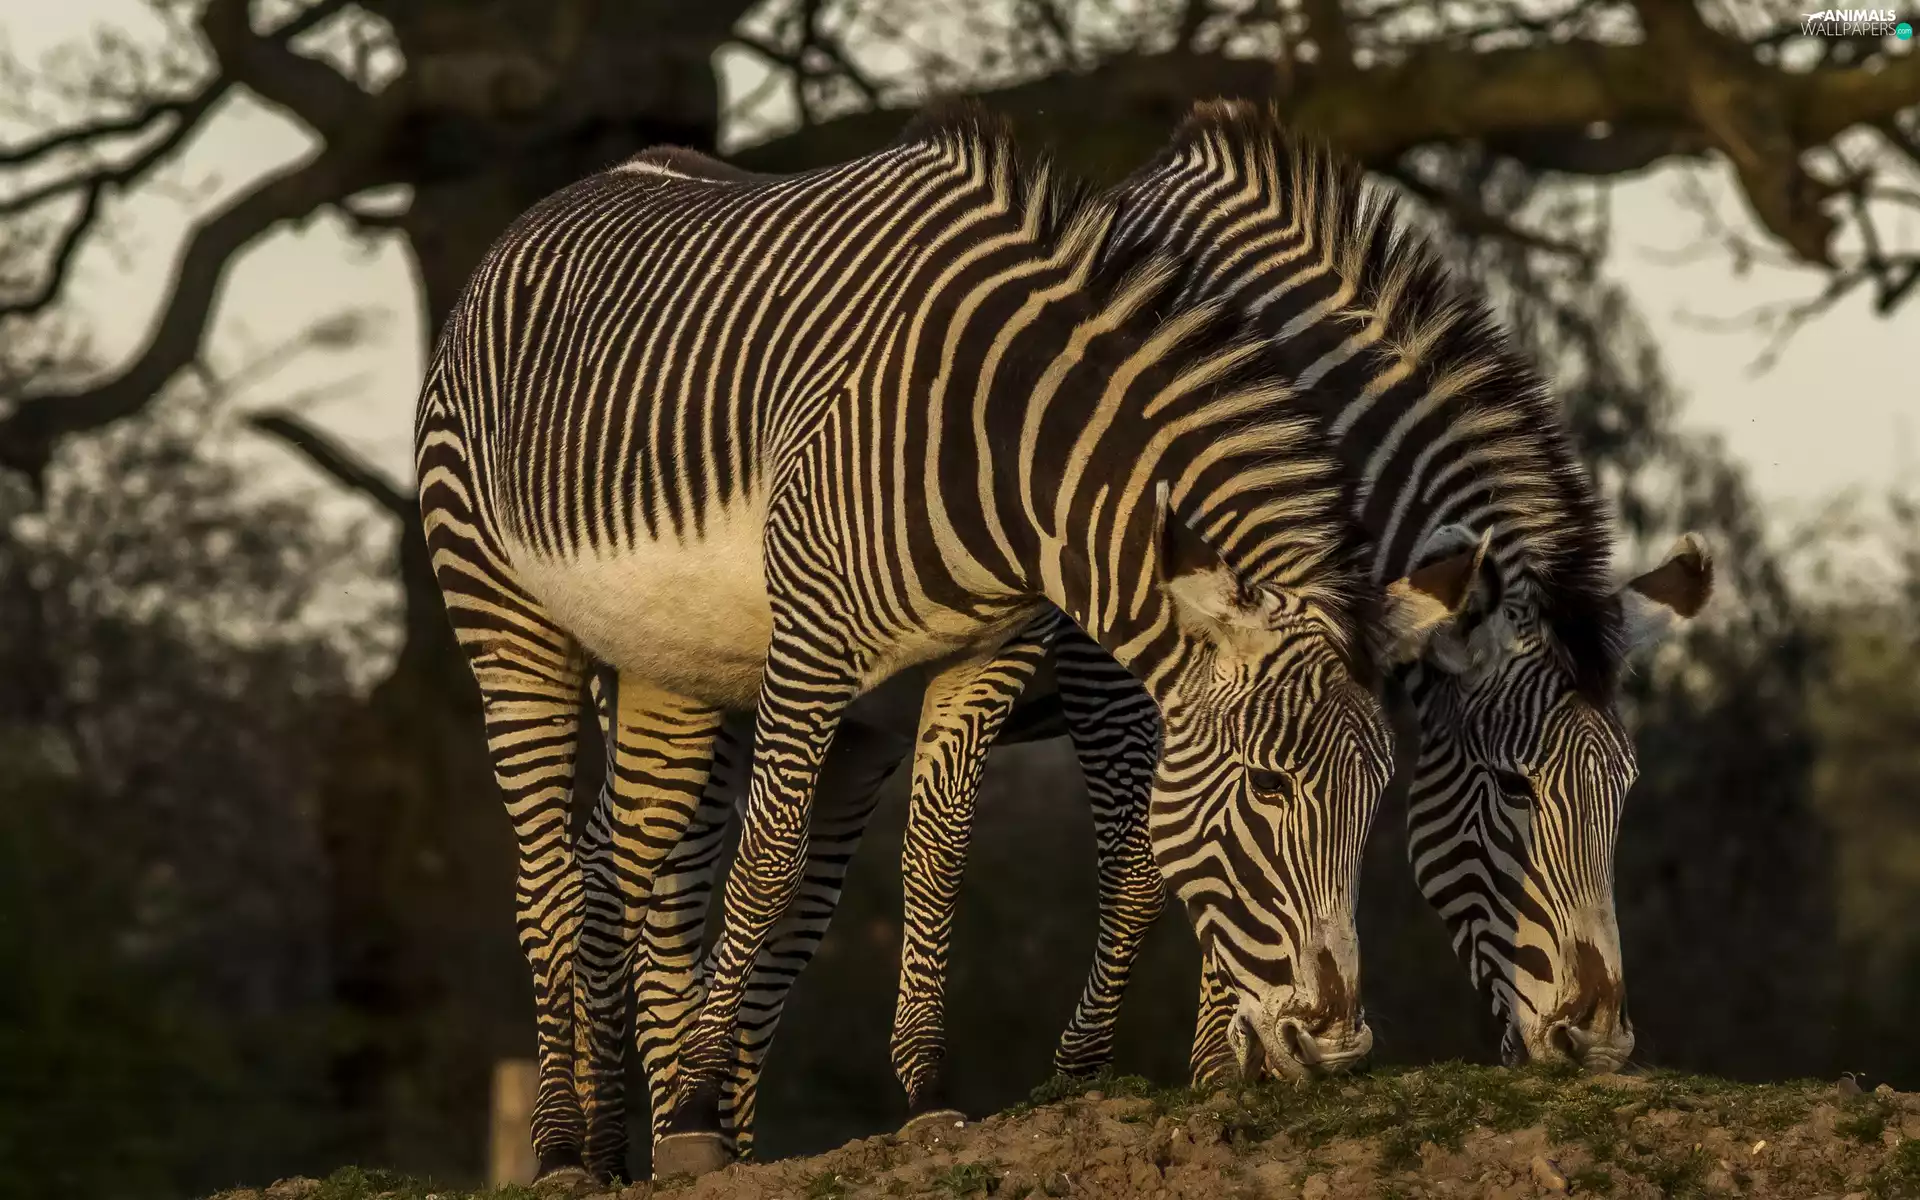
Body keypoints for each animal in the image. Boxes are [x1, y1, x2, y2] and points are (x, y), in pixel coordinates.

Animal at [413, 101, 1415, 1184]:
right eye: (1270, 787)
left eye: (1374, 796)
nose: (1339, 1046)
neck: (1010, 455)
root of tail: (543, 212)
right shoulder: (814, 645)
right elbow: (766, 868)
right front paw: (691, 1114)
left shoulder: (986, 656)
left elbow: (936, 862)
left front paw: (928, 1094)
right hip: (510, 630)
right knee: (549, 886)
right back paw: (562, 1145)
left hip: (666, 674)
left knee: (611, 873)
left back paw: (605, 1152)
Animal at [610, 98, 1716, 1162]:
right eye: (1512, 788)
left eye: (1623, 791)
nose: (1597, 1045)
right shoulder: (1118, 668)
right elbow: (1151, 861)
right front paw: (1108, 1071)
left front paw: (1236, 1064)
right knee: (651, 869)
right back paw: (654, 1128)